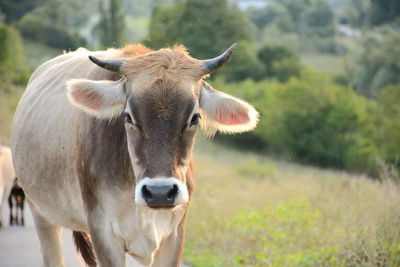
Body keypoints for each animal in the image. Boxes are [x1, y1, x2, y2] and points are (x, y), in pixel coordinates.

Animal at [11, 43, 260, 266]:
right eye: (128, 116)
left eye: (194, 117)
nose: (159, 193)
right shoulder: (103, 231)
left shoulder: (174, 233)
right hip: (40, 211)